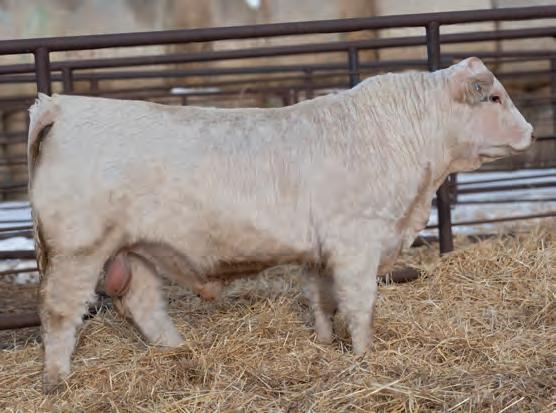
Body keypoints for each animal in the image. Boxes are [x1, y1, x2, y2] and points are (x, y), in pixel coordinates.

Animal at [27, 57, 534, 393]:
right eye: (494, 96)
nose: (530, 131)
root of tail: (60, 106)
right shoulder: (356, 240)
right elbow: (359, 303)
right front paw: (364, 355)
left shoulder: (321, 250)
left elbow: (322, 299)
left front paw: (327, 343)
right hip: (79, 250)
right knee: (59, 312)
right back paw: (57, 379)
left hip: (134, 250)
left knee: (144, 305)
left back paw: (179, 351)